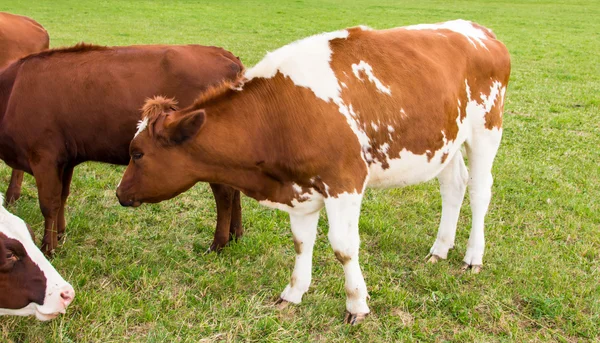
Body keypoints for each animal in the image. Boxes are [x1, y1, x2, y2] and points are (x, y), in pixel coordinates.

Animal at [0, 43, 245, 255]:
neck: (11, 93)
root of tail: (224, 54)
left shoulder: (44, 157)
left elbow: (48, 204)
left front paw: (48, 248)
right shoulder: (65, 159)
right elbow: (62, 196)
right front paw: (59, 234)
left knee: (224, 195)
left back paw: (218, 244)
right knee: (234, 192)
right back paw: (236, 235)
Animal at [117, 20, 510, 326]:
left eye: (137, 153)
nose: (120, 194)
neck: (277, 115)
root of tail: (479, 30)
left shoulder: (344, 181)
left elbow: (343, 247)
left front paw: (357, 305)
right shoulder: (298, 190)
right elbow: (301, 242)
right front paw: (292, 294)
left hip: (486, 131)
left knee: (480, 191)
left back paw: (472, 256)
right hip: (446, 142)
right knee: (453, 186)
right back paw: (439, 249)